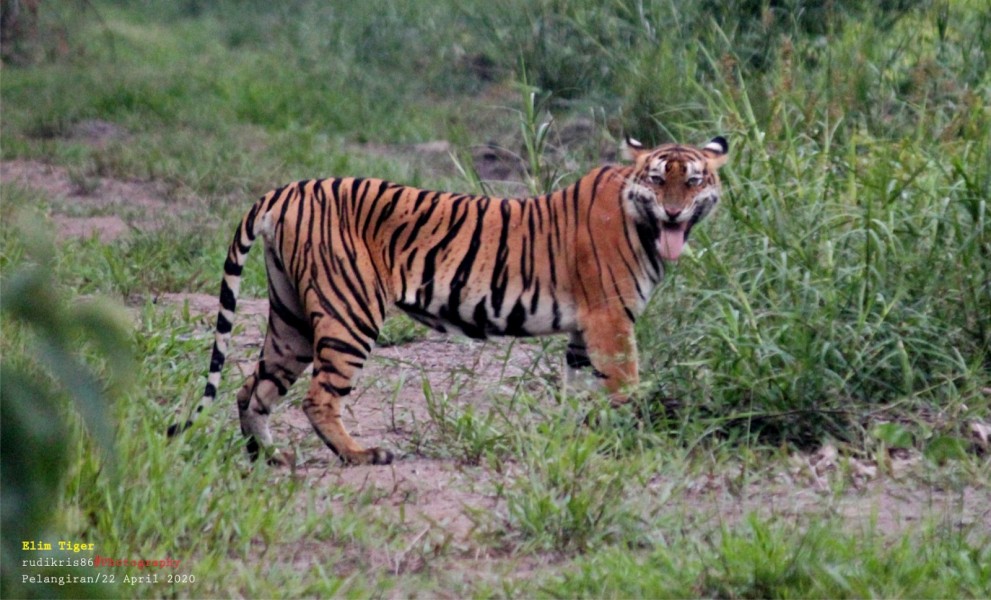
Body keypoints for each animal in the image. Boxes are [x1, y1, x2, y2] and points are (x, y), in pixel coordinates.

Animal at [167, 135, 729, 466]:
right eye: (657, 179)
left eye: (692, 180)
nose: (673, 212)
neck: (645, 225)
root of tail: (287, 189)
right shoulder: (610, 320)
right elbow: (626, 386)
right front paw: (634, 440)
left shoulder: (581, 331)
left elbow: (578, 389)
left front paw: (576, 439)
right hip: (350, 313)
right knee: (318, 396)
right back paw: (361, 455)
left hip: (291, 321)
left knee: (251, 389)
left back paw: (269, 458)